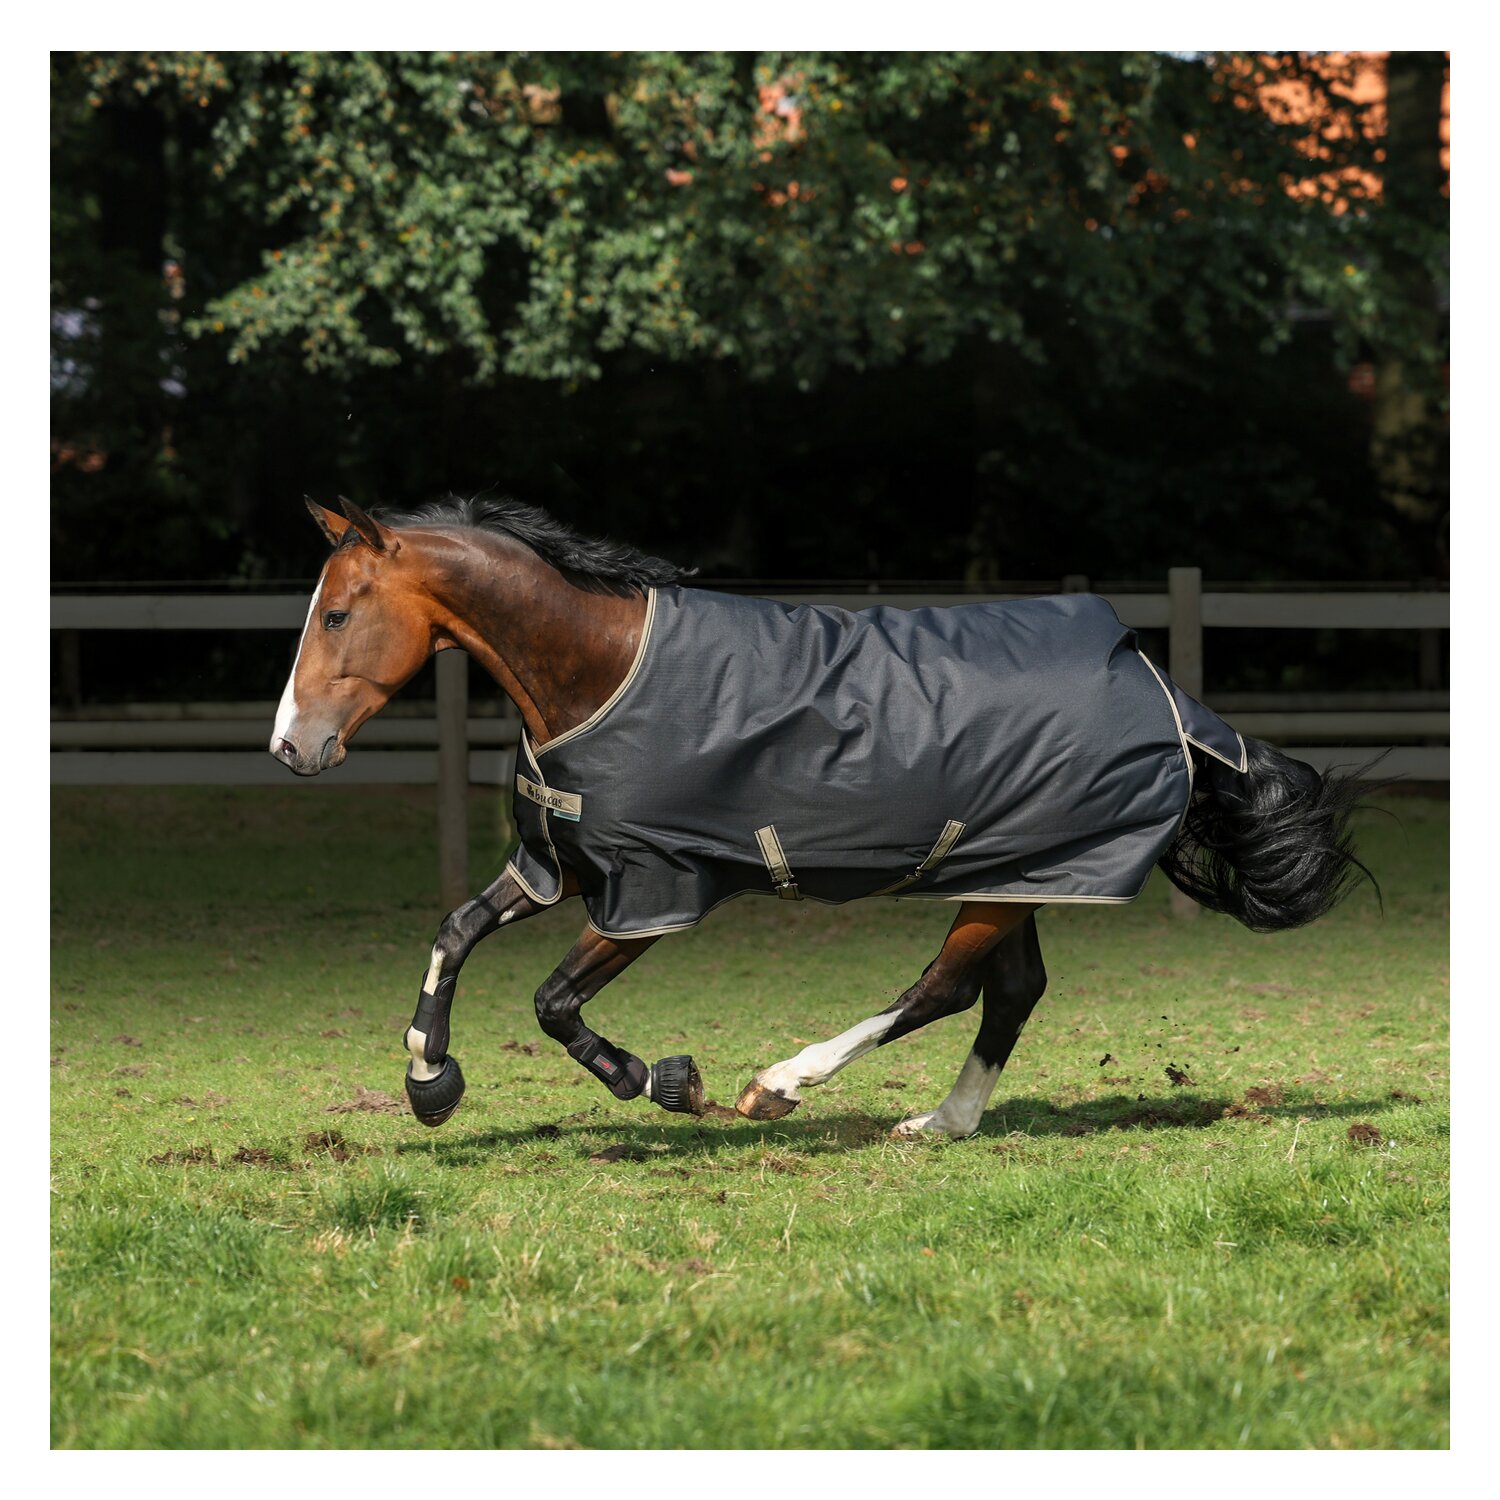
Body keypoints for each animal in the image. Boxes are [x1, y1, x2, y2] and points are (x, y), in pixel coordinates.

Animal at [271, 495, 1371, 1137]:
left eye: (337, 613)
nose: (291, 746)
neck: (603, 669)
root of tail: (1166, 695)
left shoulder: (655, 893)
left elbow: (552, 1002)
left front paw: (663, 1080)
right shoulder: (561, 868)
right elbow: (453, 933)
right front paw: (430, 1082)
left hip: (1008, 877)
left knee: (943, 988)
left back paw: (783, 1082)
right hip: (1018, 873)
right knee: (1009, 993)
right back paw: (941, 1123)